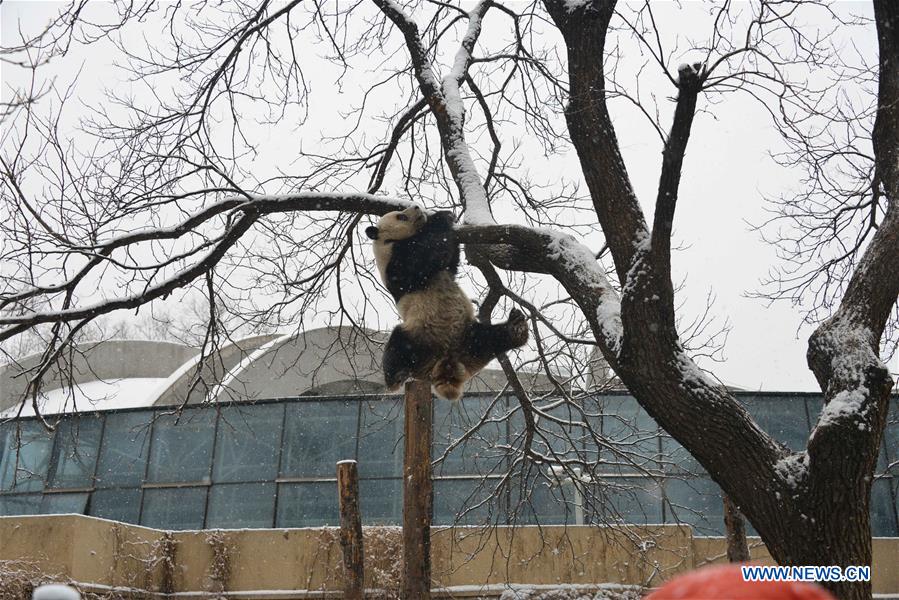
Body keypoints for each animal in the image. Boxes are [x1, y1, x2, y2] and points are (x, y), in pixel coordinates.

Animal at [364, 204, 528, 400]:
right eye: (400, 216)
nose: (417, 207)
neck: (387, 241)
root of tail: (446, 361)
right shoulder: (394, 263)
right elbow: (424, 256)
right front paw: (441, 217)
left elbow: (449, 261)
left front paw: (447, 217)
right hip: (420, 334)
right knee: (398, 344)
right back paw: (395, 377)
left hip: (468, 334)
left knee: (490, 338)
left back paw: (516, 328)